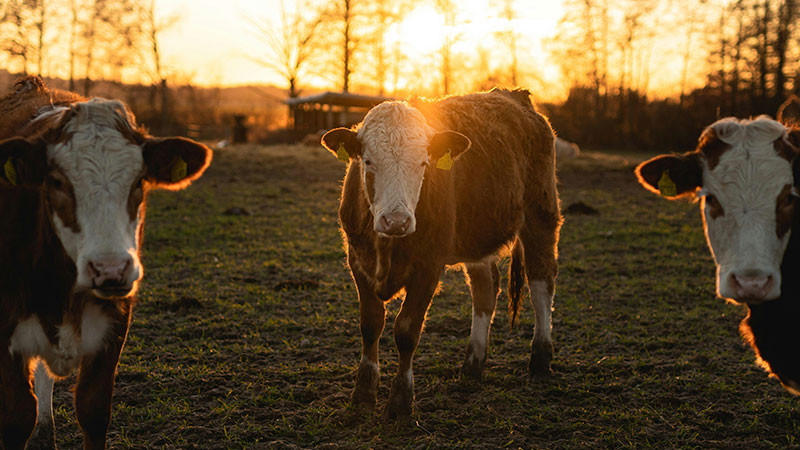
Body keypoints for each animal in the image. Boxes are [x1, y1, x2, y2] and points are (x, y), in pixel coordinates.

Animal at [0, 75, 212, 448]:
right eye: (56, 181)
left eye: (139, 180)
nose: (110, 269)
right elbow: (17, 416)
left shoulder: (113, 329)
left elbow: (93, 410)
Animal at [320, 88, 564, 418]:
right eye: (368, 162)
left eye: (424, 163)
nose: (396, 220)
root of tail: (516, 97)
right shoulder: (358, 261)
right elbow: (370, 325)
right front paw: (363, 394)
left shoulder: (428, 266)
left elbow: (407, 330)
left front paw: (400, 401)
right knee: (486, 289)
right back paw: (472, 366)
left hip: (541, 213)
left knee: (541, 283)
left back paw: (540, 360)